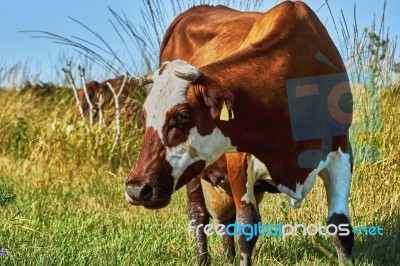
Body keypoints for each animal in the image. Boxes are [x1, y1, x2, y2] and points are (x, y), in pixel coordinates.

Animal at [125, 1, 354, 264]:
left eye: (182, 114)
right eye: (145, 115)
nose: (136, 189)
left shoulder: (342, 152)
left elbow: (340, 229)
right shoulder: (238, 159)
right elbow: (247, 228)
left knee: (226, 220)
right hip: (194, 177)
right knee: (199, 215)